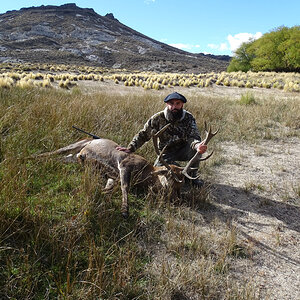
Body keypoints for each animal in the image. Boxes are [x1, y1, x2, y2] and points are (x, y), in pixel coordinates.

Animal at [36, 122, 218, 218]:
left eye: (181, 185)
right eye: (170, 179)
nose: (177, 199)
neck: (146, 174)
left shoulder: (112, 175)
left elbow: (111, 186)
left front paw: (102, 192)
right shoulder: (125, 165)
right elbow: (125, 186)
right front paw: (124, 210)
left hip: (74, 156)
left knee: (60, 158)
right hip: (78, 143)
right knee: (53, 152)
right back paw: (31, 156)